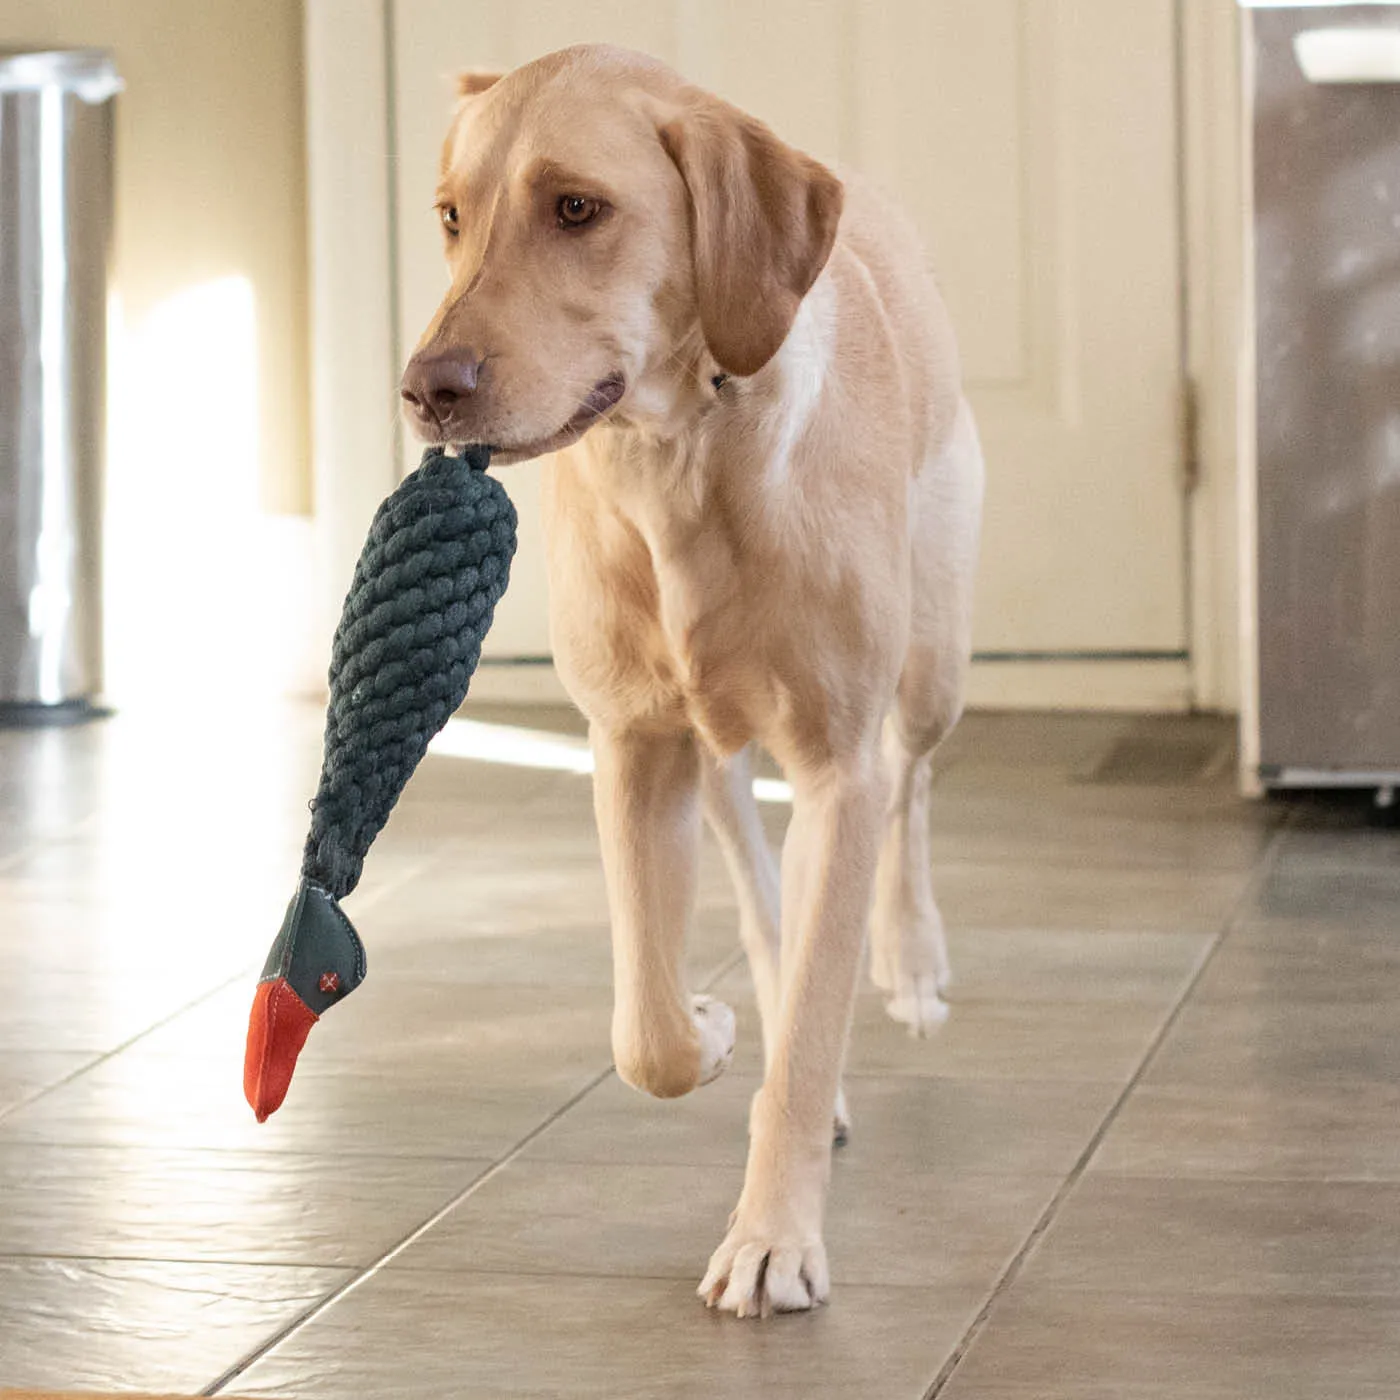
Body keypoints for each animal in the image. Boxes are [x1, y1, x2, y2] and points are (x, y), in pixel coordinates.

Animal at [400, 40, 980, 1310]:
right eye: (451, 216)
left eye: (577, 208)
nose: (425, 388)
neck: (681, 457)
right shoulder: (631, 746)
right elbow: (648, 1031)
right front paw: (712, 1034)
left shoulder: (835, 763)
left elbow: (811, 1017)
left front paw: (773, 1238)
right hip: (714, 758)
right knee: (767, 902)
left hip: (933, 658)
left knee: (911, 788)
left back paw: (913, 963)